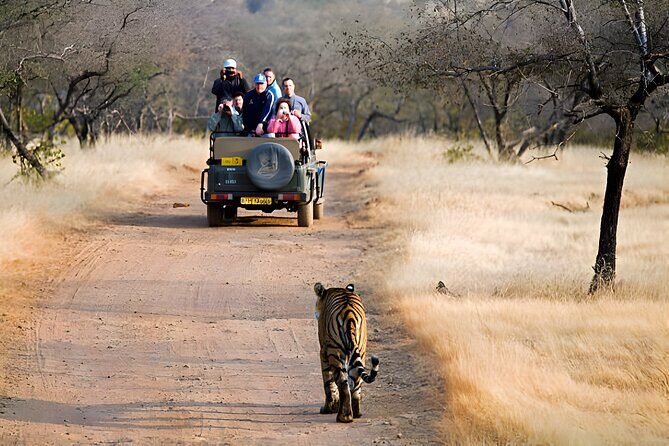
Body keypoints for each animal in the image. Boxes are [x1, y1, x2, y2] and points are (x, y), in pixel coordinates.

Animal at [314, 282, 380, 423]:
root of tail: (349, 315)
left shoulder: (323, 351)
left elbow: (328, 383)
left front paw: (328, 408)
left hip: (335, 351)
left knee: (342, 384)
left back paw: (343, 417)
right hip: (361, 349)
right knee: (356, 383)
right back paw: (356, 413)